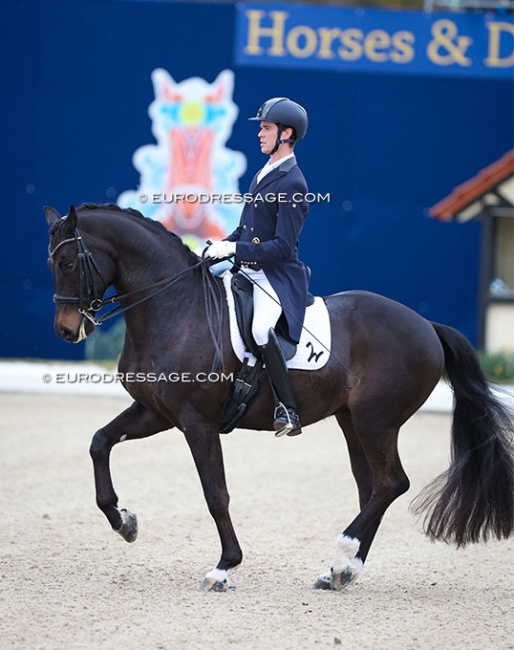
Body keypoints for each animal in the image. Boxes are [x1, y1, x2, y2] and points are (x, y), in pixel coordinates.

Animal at [45, 205, 512, 588]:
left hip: (376, 420)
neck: (177, 310)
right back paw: (341, 570)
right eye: (51, 263)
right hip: (352, 421)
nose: (67, 331)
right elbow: (100, 443)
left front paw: (224, 567)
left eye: (68, 262)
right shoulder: (155, 412)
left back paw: (341, 556)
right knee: (372, 488)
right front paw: (123, 521)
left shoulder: (196, 422)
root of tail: (428, 325)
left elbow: (215, 493)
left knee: (391, 483)